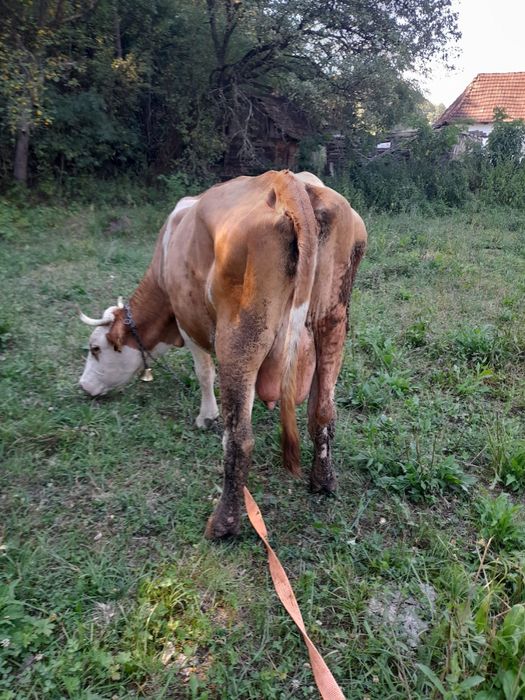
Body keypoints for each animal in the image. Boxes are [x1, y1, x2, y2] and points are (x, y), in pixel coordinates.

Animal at [79, 170, 367, 539]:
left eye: (95, 349)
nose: (84, 386)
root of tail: (285, 181)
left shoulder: (187, 320)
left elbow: (204, 373)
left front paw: (206, 417)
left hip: (239, 337)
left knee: (240, 439)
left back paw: (223, 524)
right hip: (333, 322)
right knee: (323, 411)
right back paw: (323, 481)